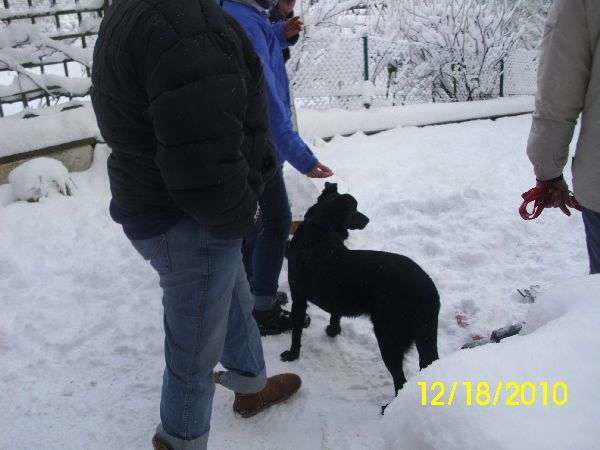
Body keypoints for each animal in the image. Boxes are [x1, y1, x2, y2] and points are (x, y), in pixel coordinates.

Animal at [281, 183, 440, 401]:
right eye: (354, 210)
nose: (367, 219)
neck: (320, 226)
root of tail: (428, 290)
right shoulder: (332, 299)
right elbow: (335, 314)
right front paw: (333, 331)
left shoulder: (298, 297)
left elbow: (296, 331)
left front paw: (292, 355)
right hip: (426, 334)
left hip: (389, 337)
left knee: (400, 381)